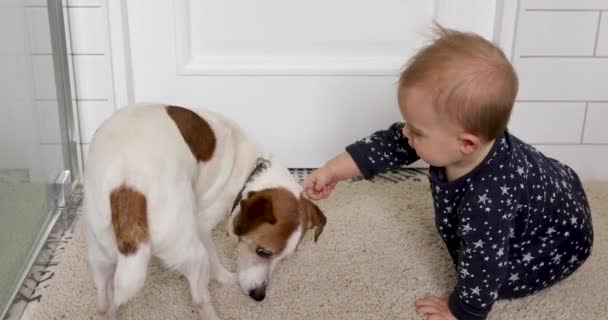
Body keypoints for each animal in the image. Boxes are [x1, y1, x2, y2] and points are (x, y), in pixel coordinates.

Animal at [84, 104, 328, 318]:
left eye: (284, 259)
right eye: (263, 252)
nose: (259, 296)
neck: (249, 172)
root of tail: (128, 185)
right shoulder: (202, 225)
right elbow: (214, 259)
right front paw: (225, 277)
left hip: (101, 253)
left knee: (104, 302)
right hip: (192, 252)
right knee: (200, 298)